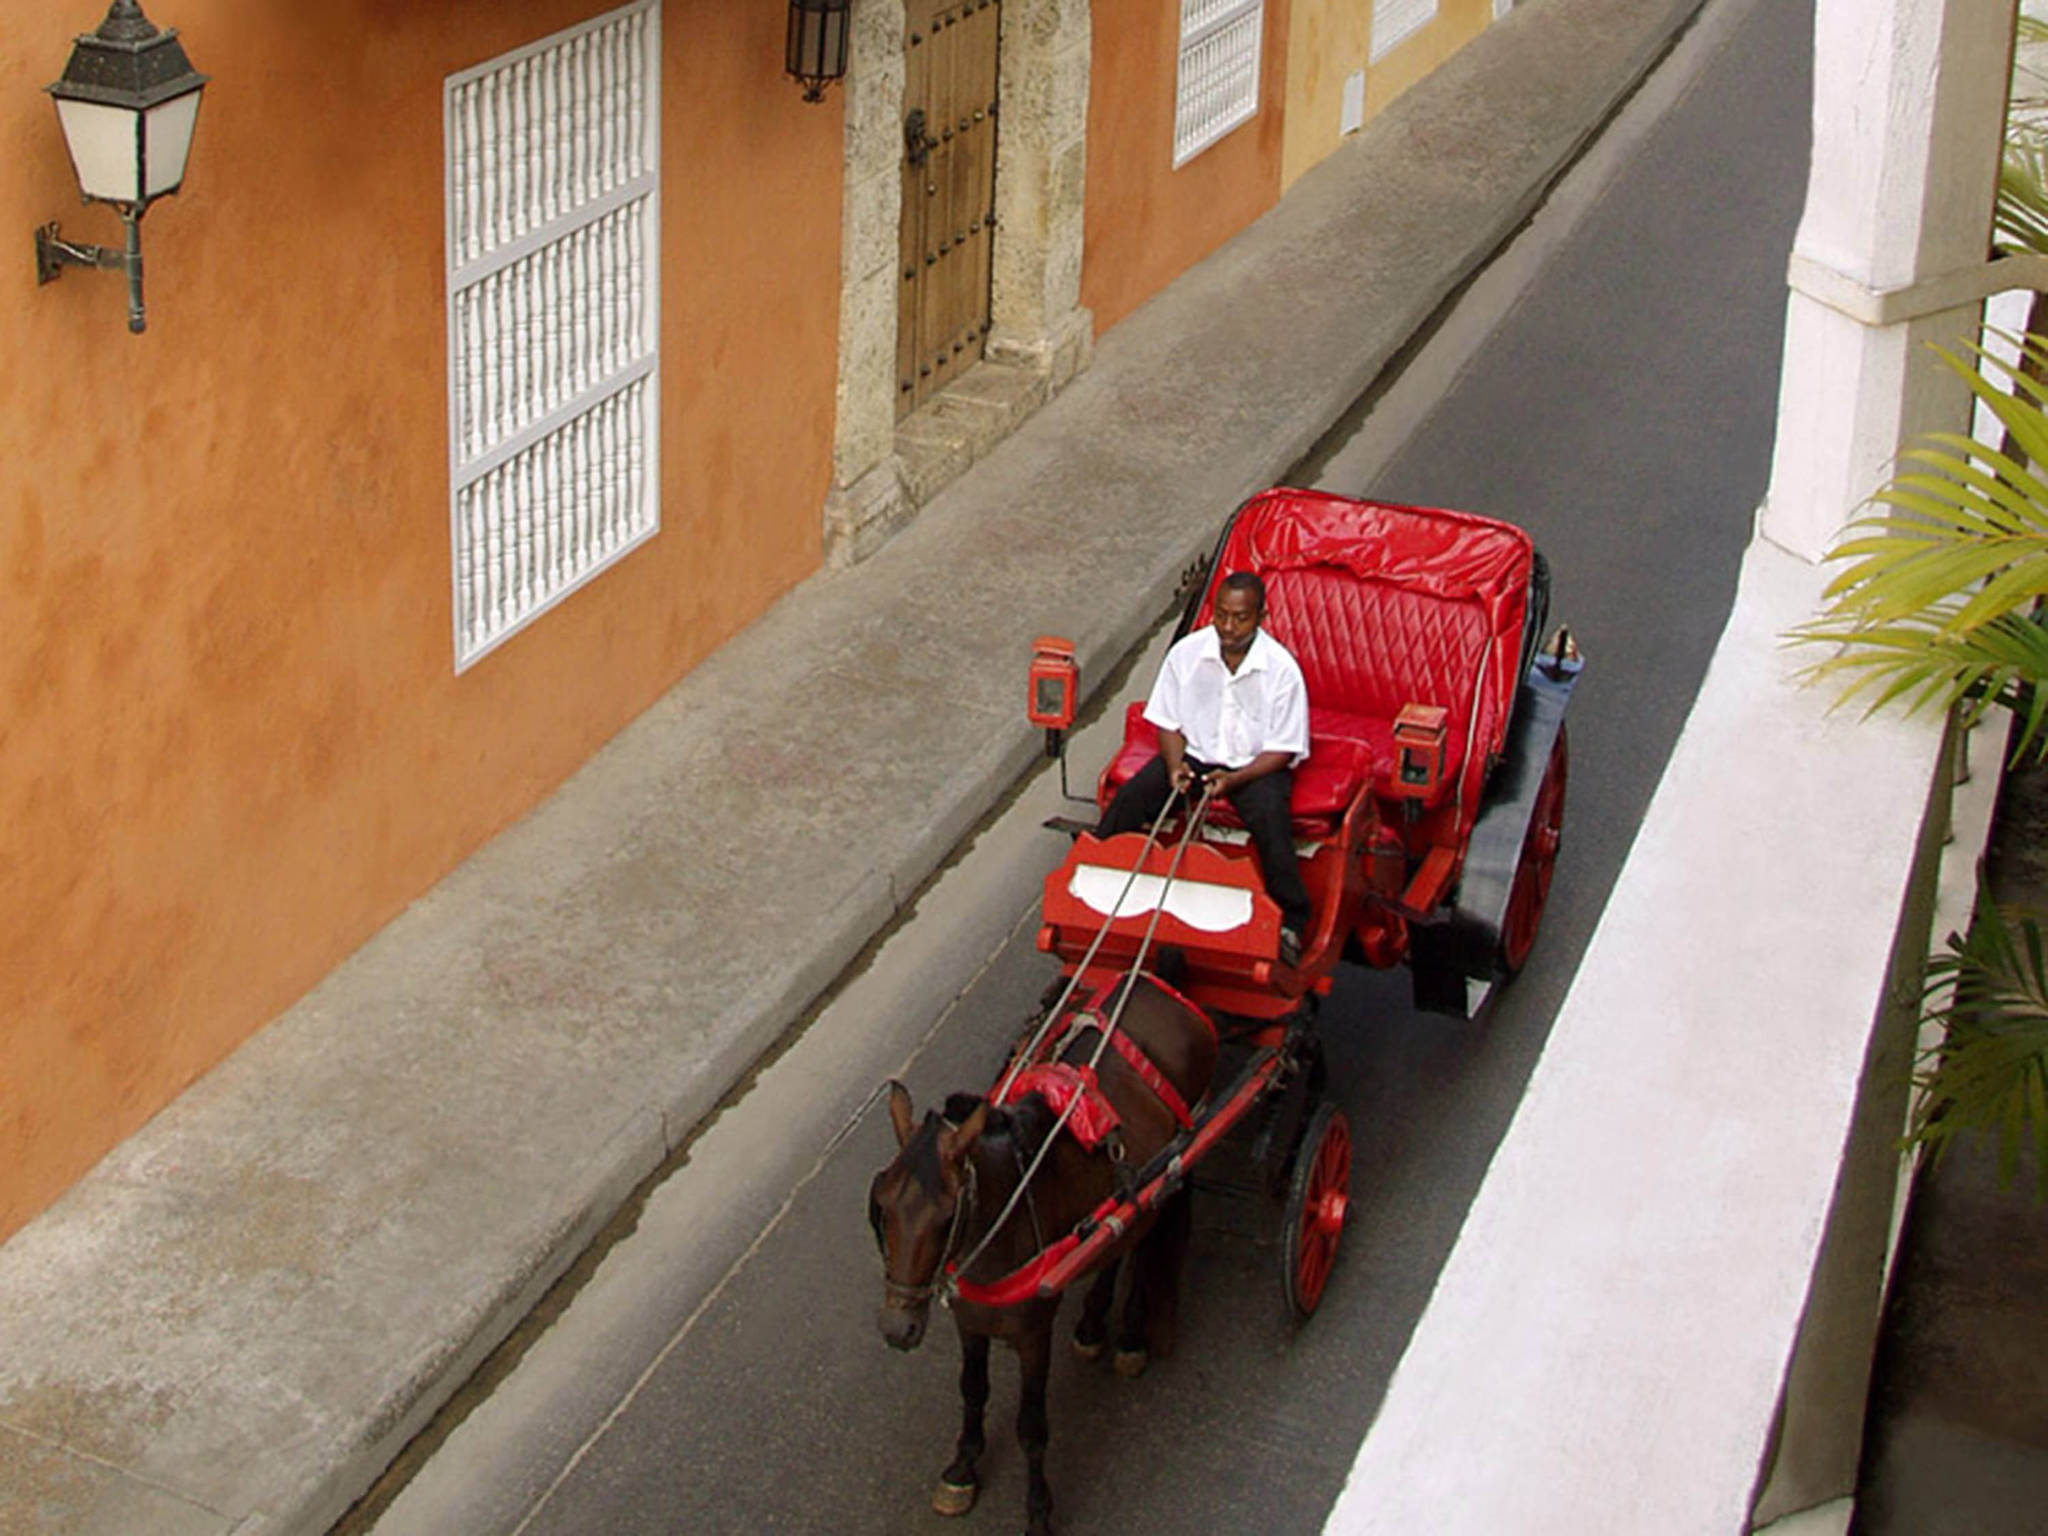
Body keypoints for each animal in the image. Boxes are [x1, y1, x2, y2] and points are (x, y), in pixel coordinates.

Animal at [864, 974, 1212, 1536]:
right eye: (880, 1207)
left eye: (946, 1216)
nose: (898, 1329)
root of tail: (1155, 982)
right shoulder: (970, 1320)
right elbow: (972, 1389)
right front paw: (962, 1468)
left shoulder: (1032, 1334)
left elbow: (1031, 1425)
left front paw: (1038, 1509)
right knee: (1115, 1241)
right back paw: (1092, 1323)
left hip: (1171, 1170)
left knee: (1147, 1243)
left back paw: (1132, 1335)